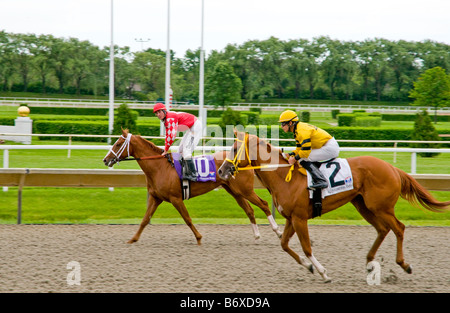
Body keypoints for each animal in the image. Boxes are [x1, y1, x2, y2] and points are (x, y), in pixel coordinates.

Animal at [103, 129, 284, 244]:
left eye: (118, 144)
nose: (106, 160)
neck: (160, 167)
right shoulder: (156, 198)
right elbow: (145, 219)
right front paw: (133, 239)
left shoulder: (175, 198)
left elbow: (187, 219)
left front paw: (198, 237)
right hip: (235, 192)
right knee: (250, 210)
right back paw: (257, 235)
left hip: (245, 190)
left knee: (264, 204)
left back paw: (278, 231)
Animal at [217, 130, 446, 282]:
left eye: (235, 148)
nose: (221, 170)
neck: (283, 176)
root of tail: (391, 167)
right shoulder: (292, 218)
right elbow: (284, 245)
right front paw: (309, 266)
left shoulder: (300, 218)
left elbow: (307, 247)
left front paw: (323, 272)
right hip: (363, 205)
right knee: (383, 229)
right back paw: (370, 262)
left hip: (381, 207)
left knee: (398, 228)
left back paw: (403, 264)